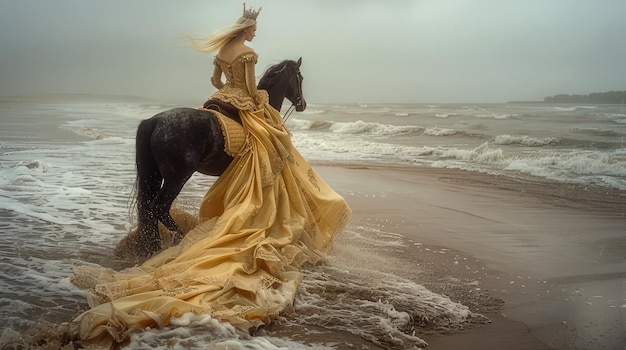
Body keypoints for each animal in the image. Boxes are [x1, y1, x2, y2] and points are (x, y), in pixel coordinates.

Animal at [134, 57, 304, 254]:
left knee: (148, 209)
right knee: (159, 207)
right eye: (301, 78)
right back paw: (183, 240)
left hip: (155, 175)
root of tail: (153, 121)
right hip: (177, 177)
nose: (303, 104)